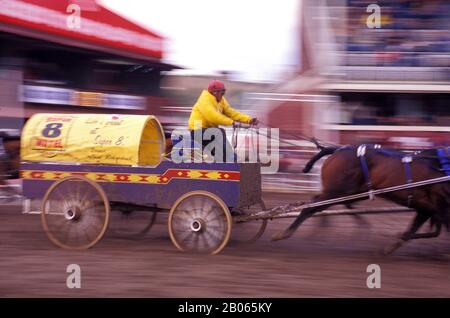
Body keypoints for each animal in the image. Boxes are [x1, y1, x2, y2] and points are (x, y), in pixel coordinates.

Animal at [270, 143, 450, 253]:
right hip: (338, 190)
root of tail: (338, 150)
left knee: (319, 204)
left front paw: (393, 244)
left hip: (347, 191)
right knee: (311, 207)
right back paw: (284, 233)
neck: (441, 166)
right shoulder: (438, 207)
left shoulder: (428, 207)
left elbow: (420, 229)